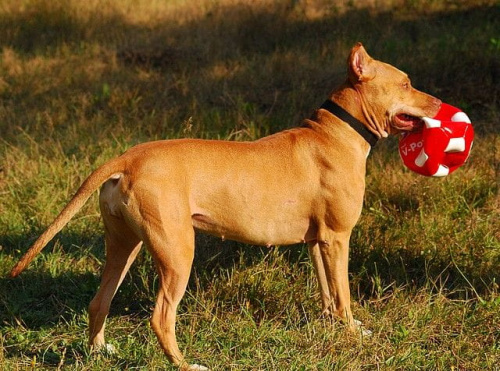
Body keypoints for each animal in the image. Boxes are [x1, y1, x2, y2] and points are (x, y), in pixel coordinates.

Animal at [9, 42, 440, 370]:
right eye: (405, 83)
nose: (438, 103)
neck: (338, 130)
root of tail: (129, 158)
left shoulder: (319, 243)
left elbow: (329, 294)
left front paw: (335, 327)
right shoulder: (337, 238)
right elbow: (345, 295)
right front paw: (352, 332)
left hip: (124, 245)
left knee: (99, 301)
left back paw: (101, 352)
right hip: (177, 252)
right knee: (161, 318)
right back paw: (185, 365)